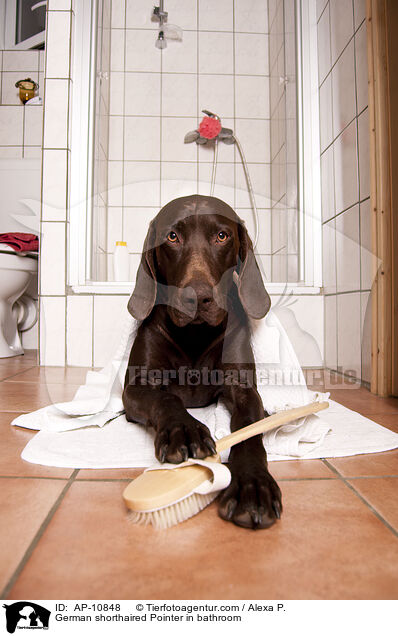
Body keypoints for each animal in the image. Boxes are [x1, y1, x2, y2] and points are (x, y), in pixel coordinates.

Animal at [123, 193, 282, 528]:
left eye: (222, 236)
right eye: (172, 236)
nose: (197, 297)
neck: (193, 336)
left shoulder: (243, 389)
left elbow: (249, 430)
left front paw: (253, 485)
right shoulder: (137, 386)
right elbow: (166, 398)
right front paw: (184, 430)